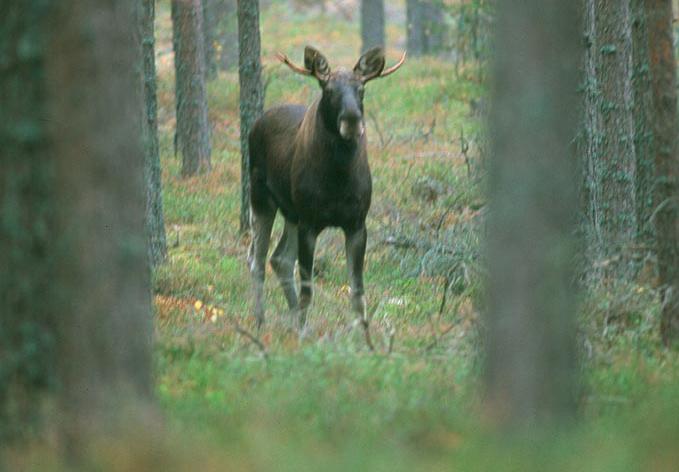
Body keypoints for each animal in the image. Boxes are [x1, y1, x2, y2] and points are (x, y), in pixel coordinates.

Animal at [248, 47, 404, 328]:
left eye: (361, 89)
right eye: (328, 90)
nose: (352, 120)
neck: (337, 179)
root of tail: (256, 123)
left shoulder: (356, 224)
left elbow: (358, 293)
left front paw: (362, 334)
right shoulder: (310, 224)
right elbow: (308, 292)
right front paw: (302, 332)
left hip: (292, 214)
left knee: (280, 259)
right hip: (261, 198)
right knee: (258, 260)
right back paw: (261, 322)